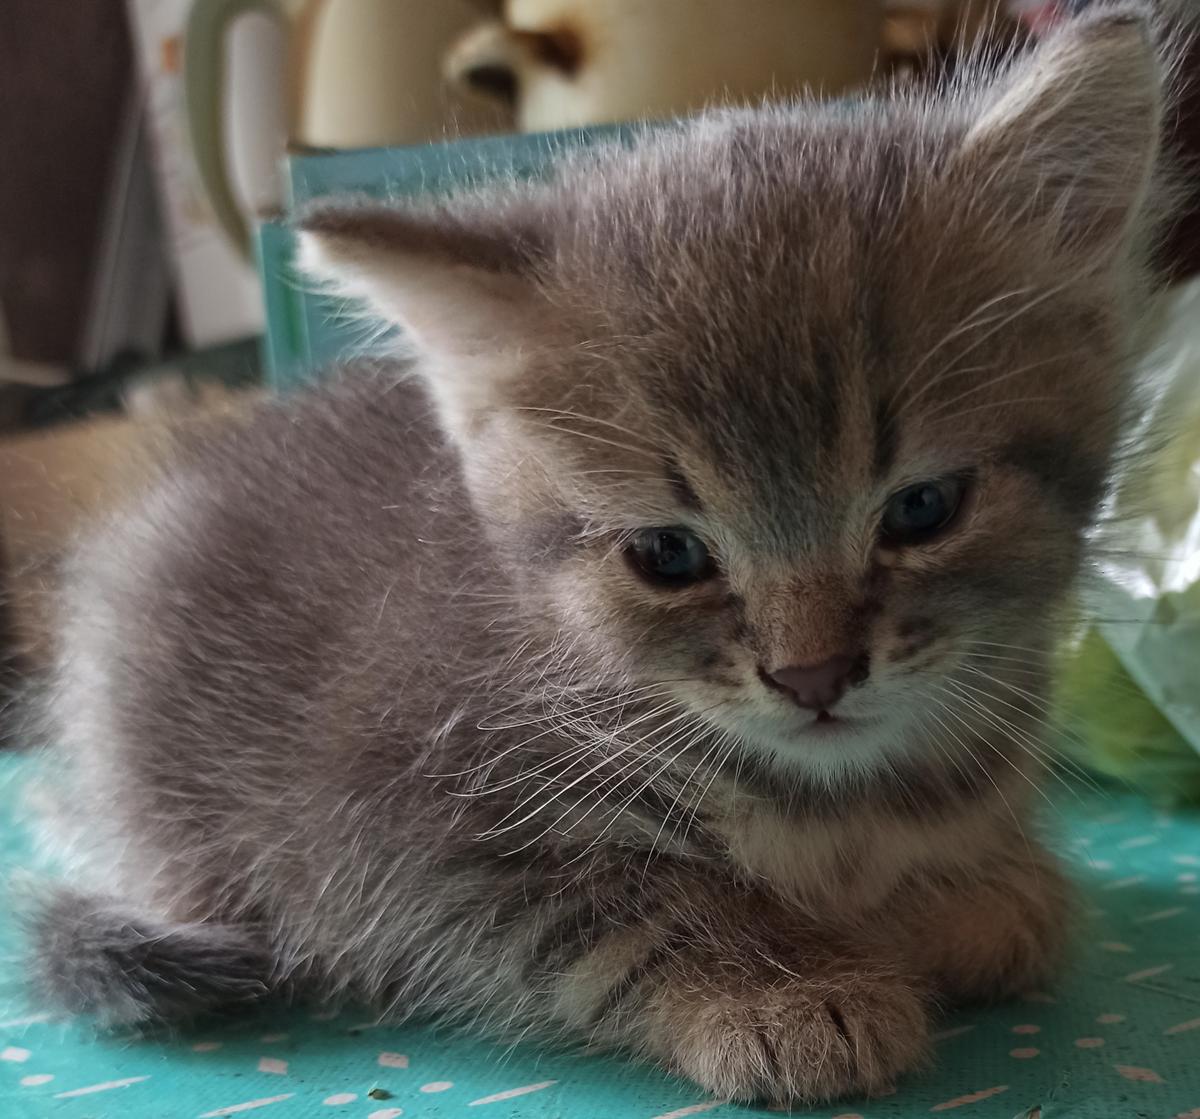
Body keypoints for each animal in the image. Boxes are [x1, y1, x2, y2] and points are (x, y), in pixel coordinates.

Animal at [20, 6, 1179, 1105]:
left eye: (924, 508)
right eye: (668, 554)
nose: (813, 675)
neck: (841, 799)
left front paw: (974, 894)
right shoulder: (387, 835)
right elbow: (612, 907)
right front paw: (785, 988)